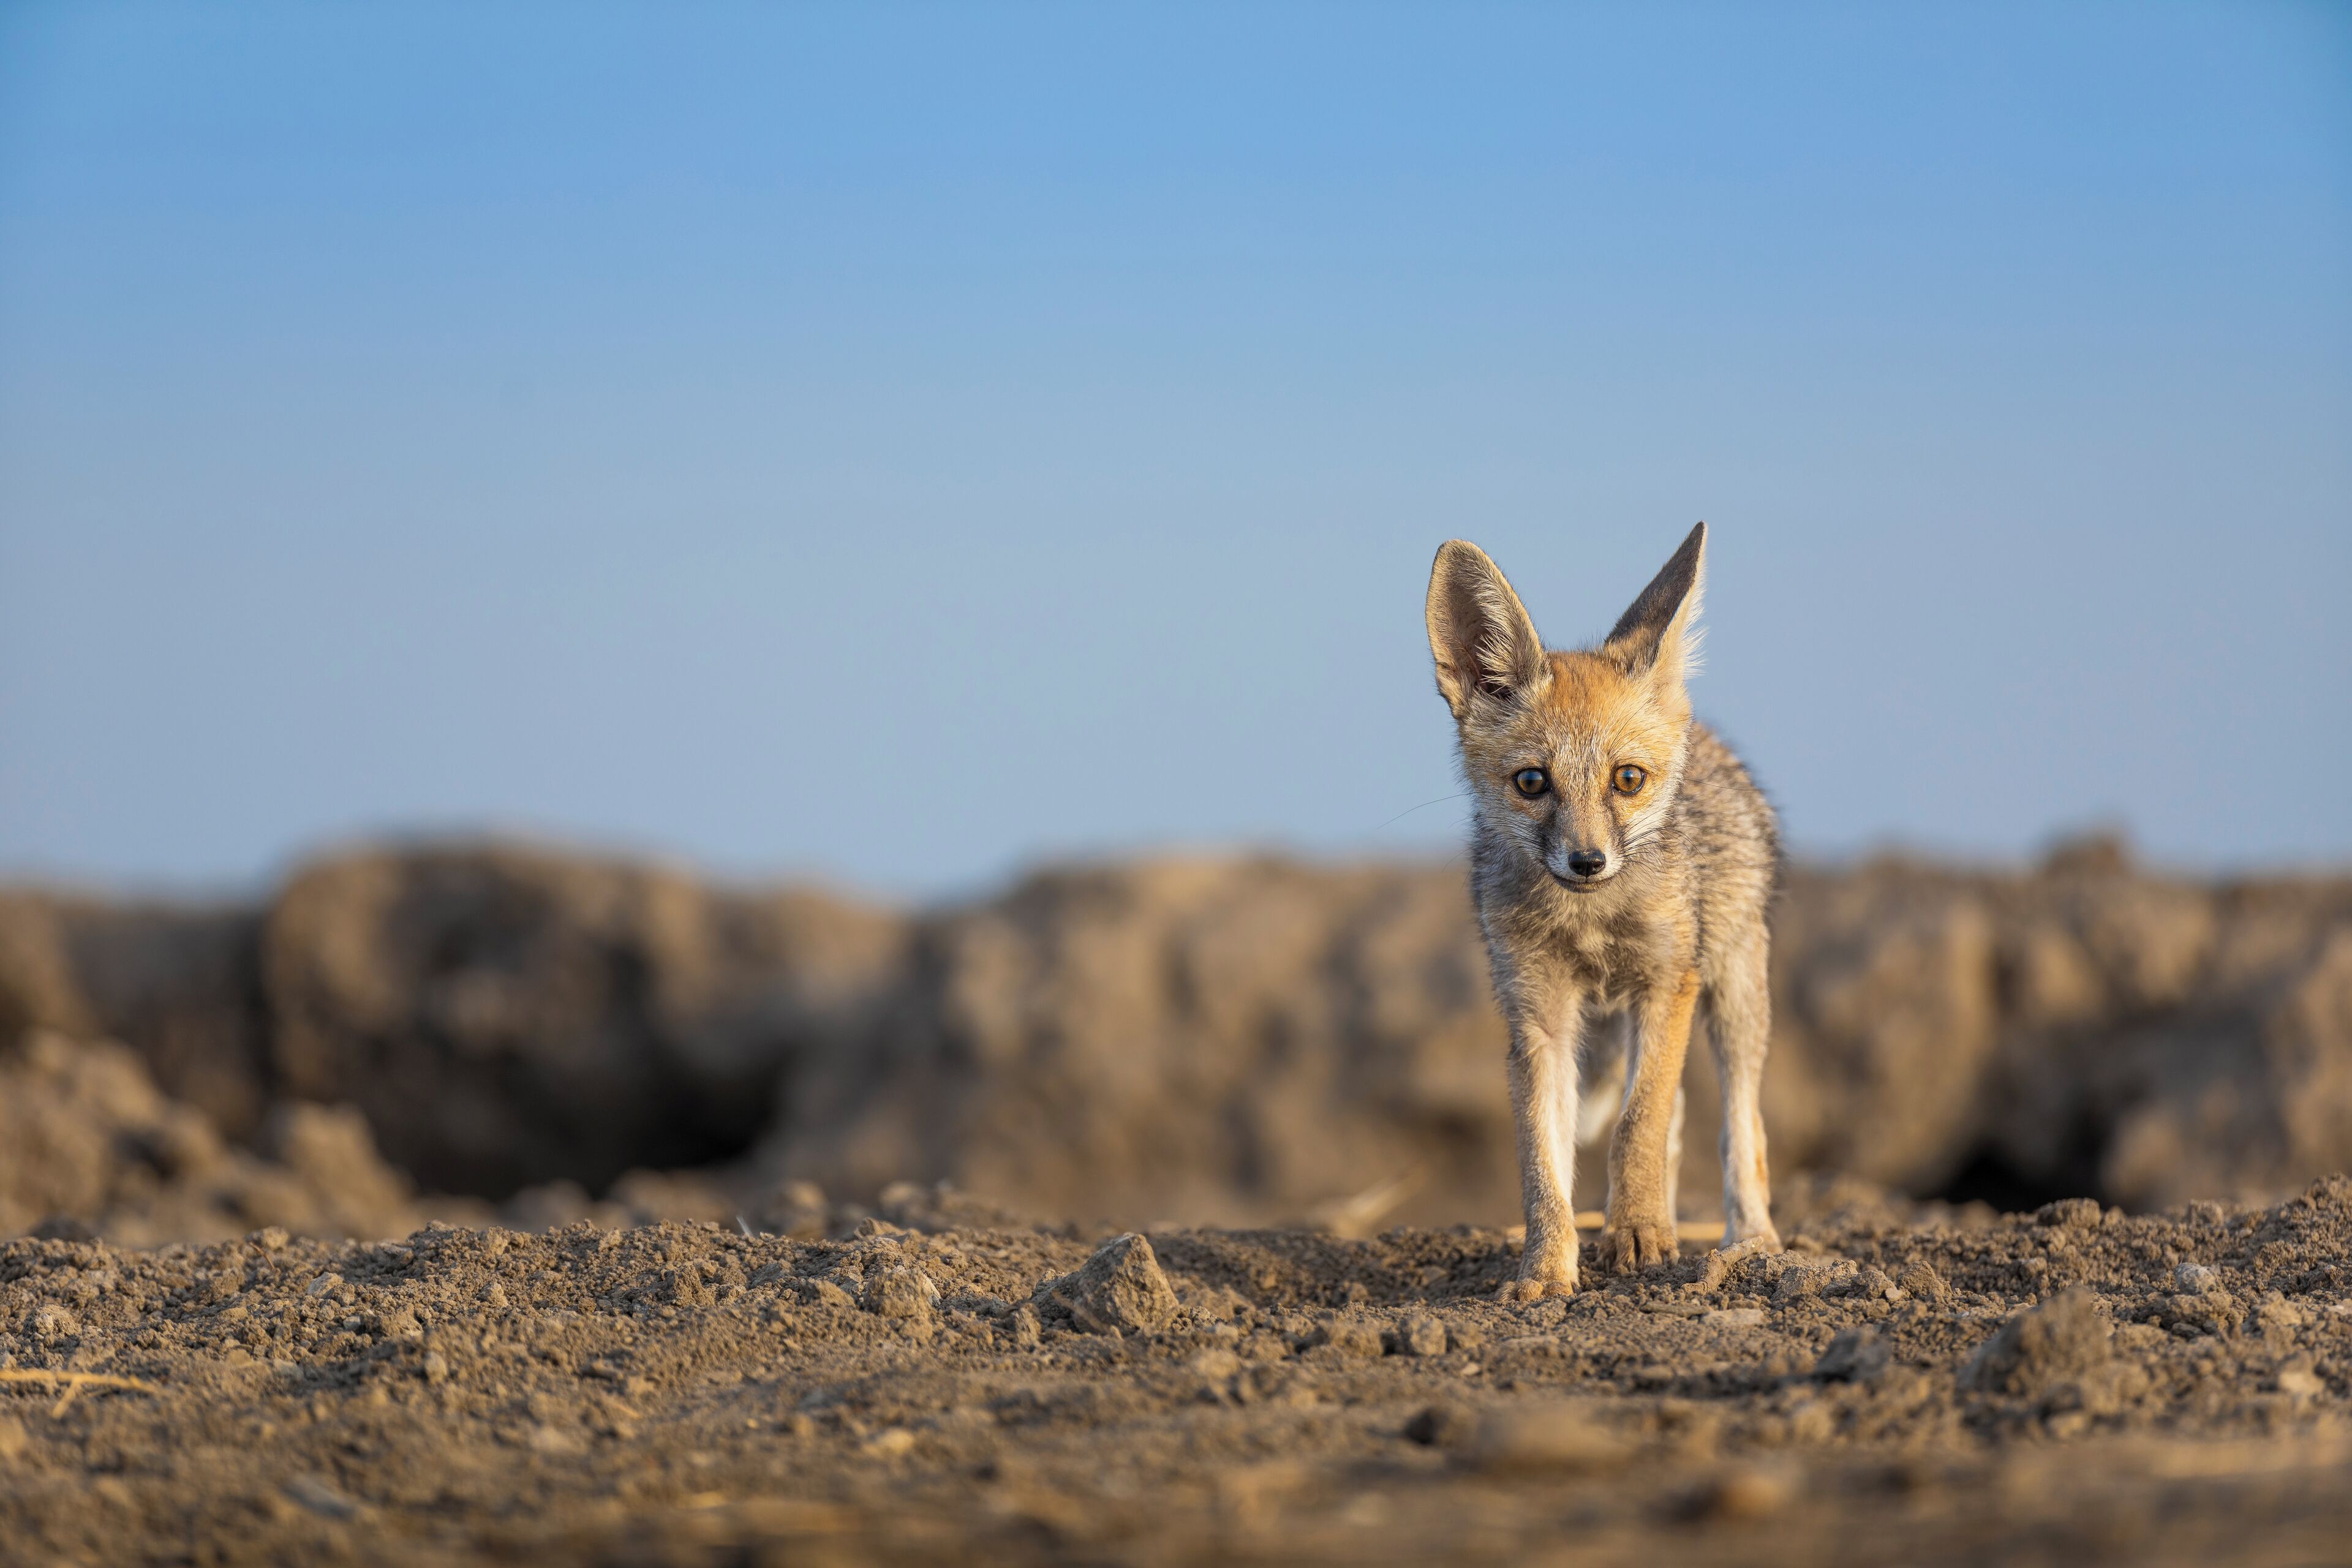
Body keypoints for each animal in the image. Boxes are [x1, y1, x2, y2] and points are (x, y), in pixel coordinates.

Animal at [1425, 522, 1781, 1299]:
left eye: (1627, 779)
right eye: (1532, 782)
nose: (1586, 862)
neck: (1590, 926)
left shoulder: (1668, 984)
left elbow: (1637, 1124)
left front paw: (1639, 1234)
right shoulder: (1538, 1018)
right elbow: (1542, 1164)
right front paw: (1547, 1268)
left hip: (1736, 995)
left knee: (1738, 1127)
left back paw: (1751, 1240)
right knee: (1677, 1119)